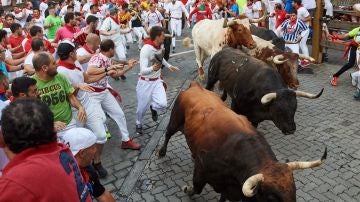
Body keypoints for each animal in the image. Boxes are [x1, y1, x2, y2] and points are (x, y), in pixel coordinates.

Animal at [159, 81, 328, 202]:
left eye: (294, 190)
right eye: (272, 197)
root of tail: (196, 86)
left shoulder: (230, 188)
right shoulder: (201, 170)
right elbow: (196, 187)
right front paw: (187, 189)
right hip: (175, 119)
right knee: (167, 134)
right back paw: (161, 152)